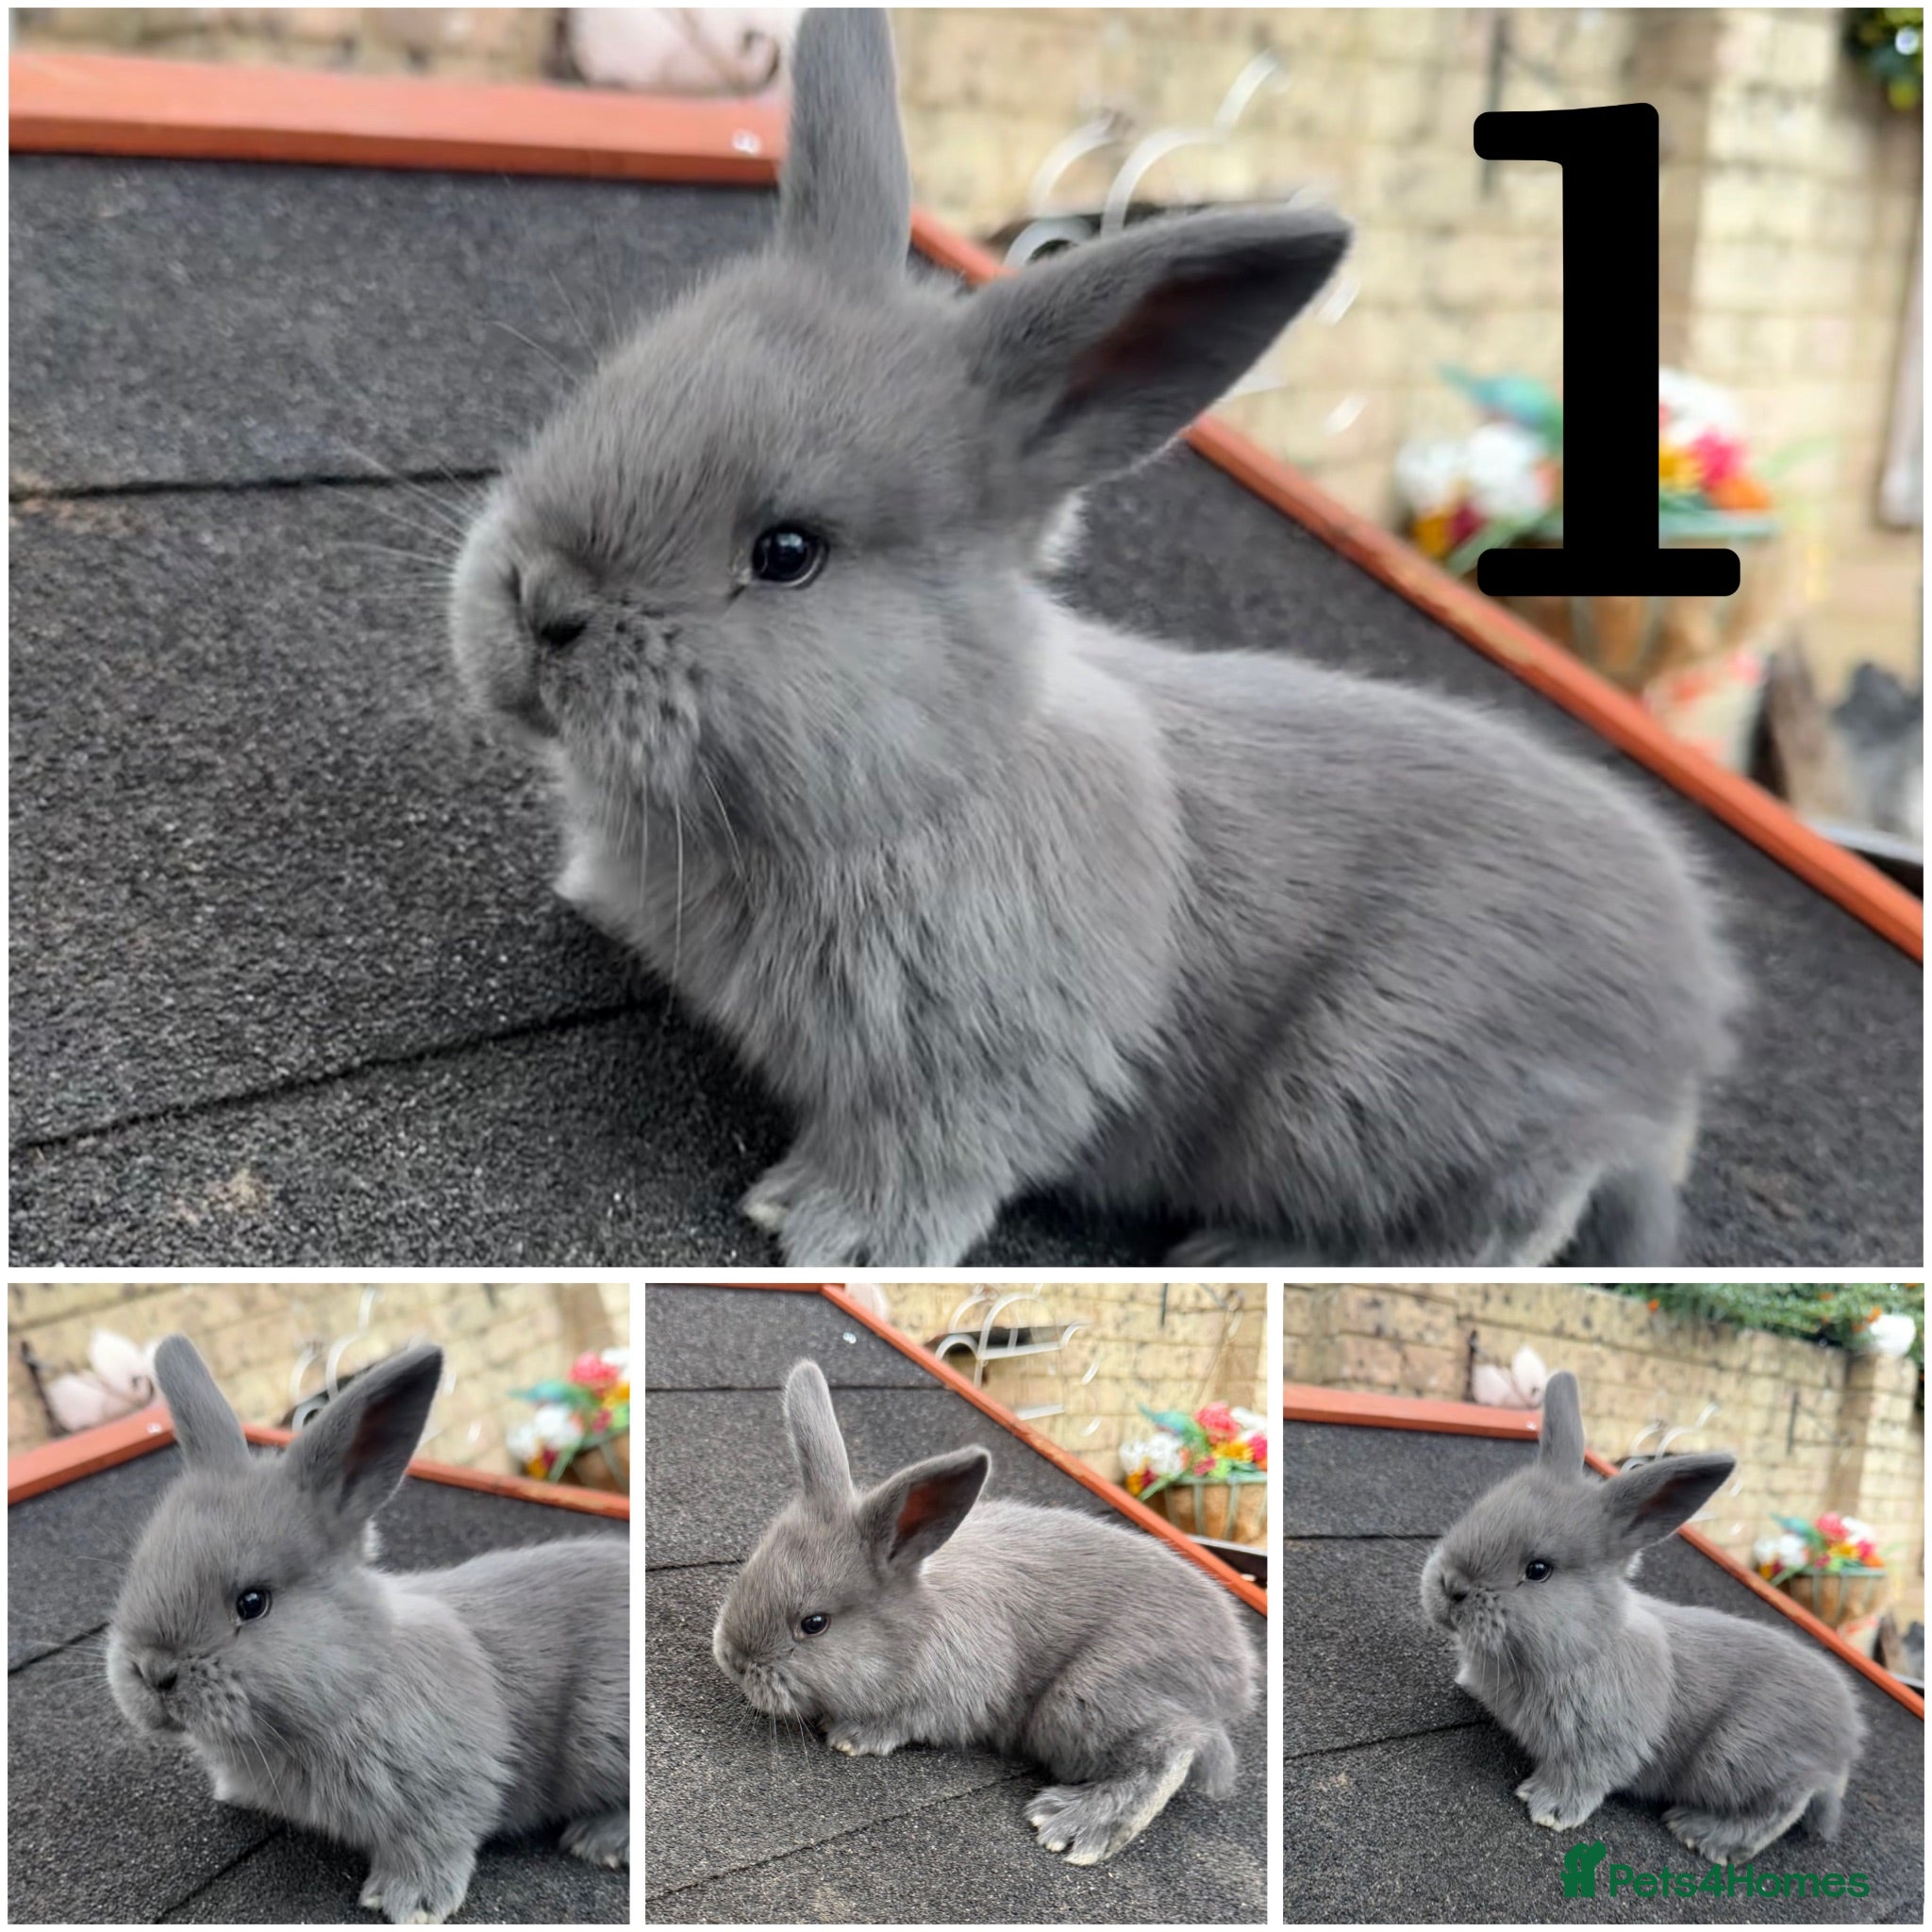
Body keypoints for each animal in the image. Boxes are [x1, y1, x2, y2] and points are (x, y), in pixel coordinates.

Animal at [104, 1336, 629, 1926]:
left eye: (252, 1603)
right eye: (139, 1570)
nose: (153, 1671)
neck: (359, 1676)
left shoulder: (449, 1788)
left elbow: (437, 1840)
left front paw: (410, 1903)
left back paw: (599, 1840)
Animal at [448, 5, 1739, 1267]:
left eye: (787, 552)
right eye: (605, 392)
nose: (541, 605)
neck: (930, 769)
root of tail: (1674, 1055)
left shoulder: (985, 1054)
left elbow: (940, 1150)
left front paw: (824, 1228)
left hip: (1374, 1093)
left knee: (1500, 1225)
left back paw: (1235, 1252)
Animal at [711, 1358, 1255, 1865]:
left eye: (814, 1624)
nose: (733, 1660)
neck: (917, 1629)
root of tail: (1236, 1681)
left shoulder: (954, 1695)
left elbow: (909, 1721)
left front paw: (852, 1736)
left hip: (1084, 1700)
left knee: (1172, 1750)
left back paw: (1073, 1824)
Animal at [1420, 1369, 1864, 1864]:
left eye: (1538, 1570)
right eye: (1479, 1512)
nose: (1450, 1587)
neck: (1587, 1643)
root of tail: (1844, 1745)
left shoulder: (1602, 1741)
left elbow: (1587, 1775)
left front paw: (1548, 1809)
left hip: (1739, 1759)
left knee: (1780, 1809)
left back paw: (1702, 1834)